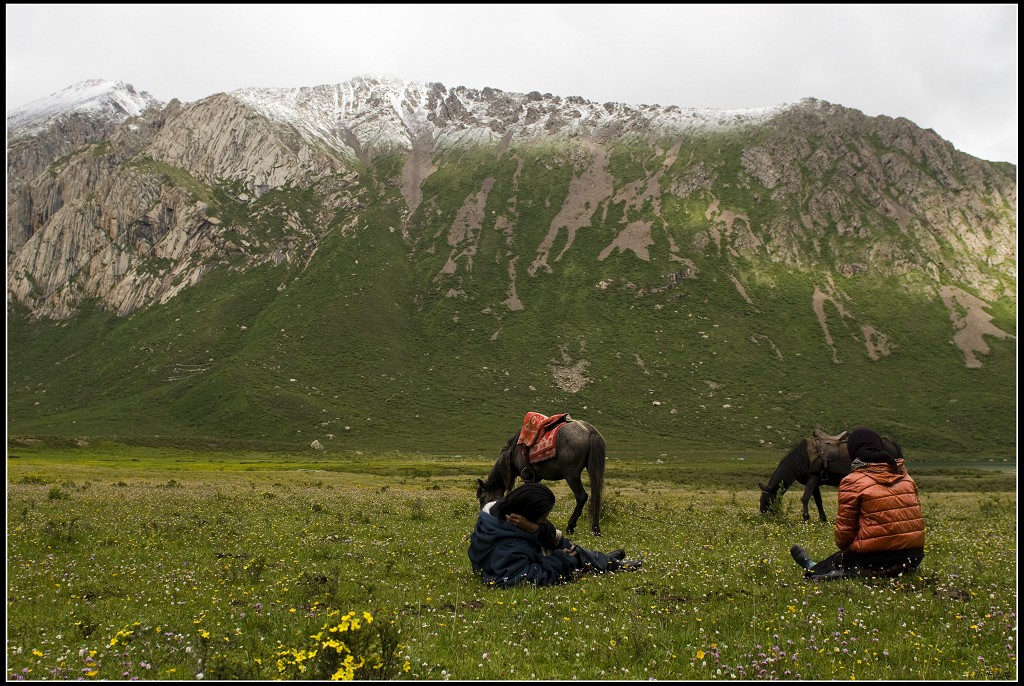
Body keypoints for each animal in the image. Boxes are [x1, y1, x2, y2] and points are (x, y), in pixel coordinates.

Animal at [757, 432, 901, 524]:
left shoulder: (813, 477)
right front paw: (823, 519)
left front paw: (805, 518)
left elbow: (805, 498)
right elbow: (818, 501)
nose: (763, 515)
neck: (802, 458)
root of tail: (891, 444)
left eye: (767, 499)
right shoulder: (815, 482)